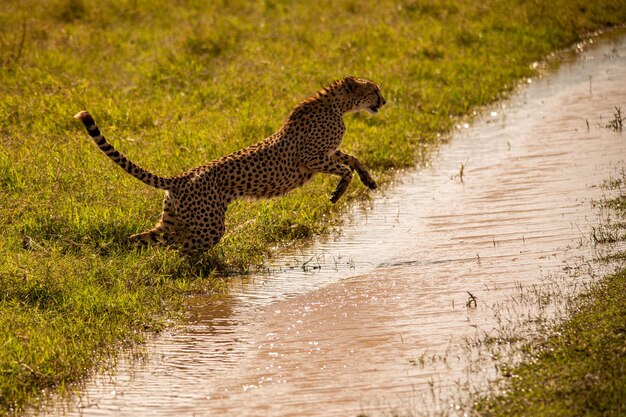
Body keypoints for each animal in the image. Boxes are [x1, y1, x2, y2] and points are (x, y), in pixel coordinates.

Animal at [74, 76, 386, 255]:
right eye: (374, 90)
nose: (384, 100)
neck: (339, 106)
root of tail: (181, 177)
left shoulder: (327, 154)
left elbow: (353, 159)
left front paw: (369, 181)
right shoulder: (311, 159)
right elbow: (345, 169)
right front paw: (337, 193)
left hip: (173, 221)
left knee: (142, 238)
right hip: (209, 226)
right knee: (182, 251)